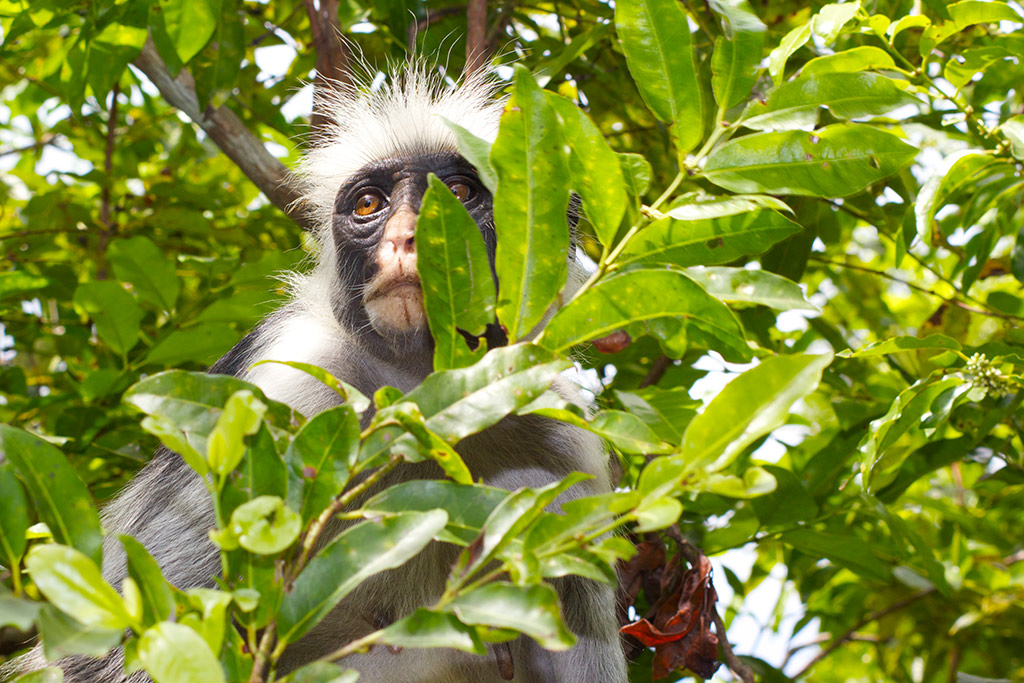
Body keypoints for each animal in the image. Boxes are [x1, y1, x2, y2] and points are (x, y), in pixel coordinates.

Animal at [10, 67, 628, 683]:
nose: (407, 237)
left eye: (458, 194)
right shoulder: (289, 389)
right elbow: (117, 642)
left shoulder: (565, 451)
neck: (431, 399)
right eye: (369, 204)